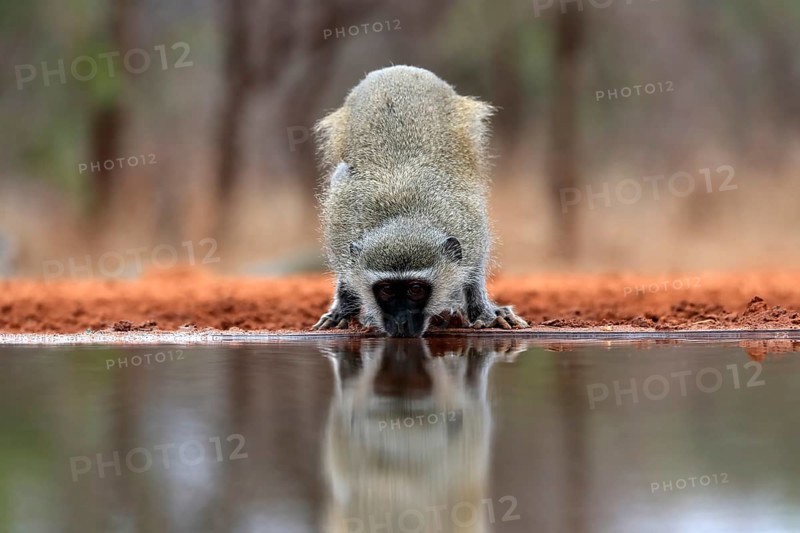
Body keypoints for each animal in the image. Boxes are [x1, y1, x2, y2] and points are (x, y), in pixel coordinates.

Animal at [312, 65, 528, 337]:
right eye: (386, 290)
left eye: (415, 289)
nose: (401, 323)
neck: (404, 216)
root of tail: (398, 69)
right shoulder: (340, 230)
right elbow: (346, 269)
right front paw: (344, 308)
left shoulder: (470, 227)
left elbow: (473, 268)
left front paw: (482, 311)